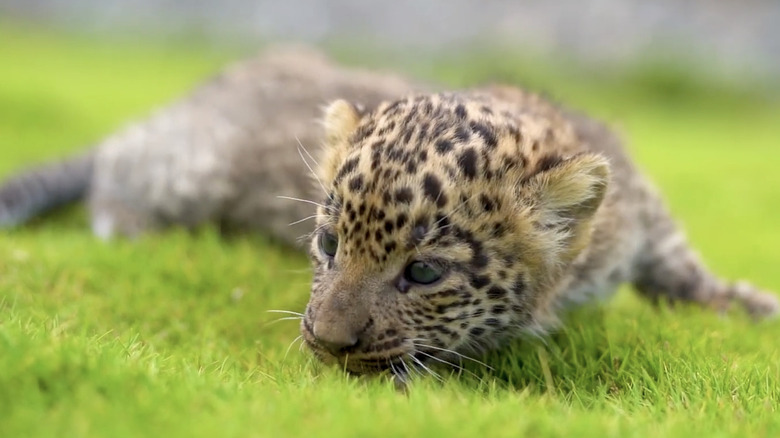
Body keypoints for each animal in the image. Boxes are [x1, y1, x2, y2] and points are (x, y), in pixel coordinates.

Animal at [299, 87, 779, 382]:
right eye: (329, 244)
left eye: (424, 273)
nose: (330, 342)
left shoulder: (643, 208)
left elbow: (679, 265)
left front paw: (745, 305)